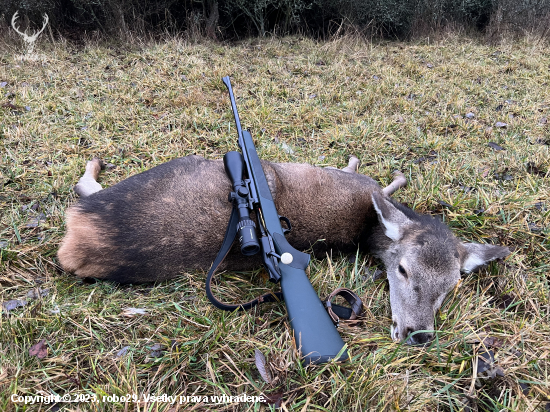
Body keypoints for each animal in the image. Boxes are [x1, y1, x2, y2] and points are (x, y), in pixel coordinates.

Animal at [58, 154, 512, 344]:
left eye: (451, 287)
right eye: (401, 270)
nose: (417, 333)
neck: (366, 229)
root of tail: (75, 244)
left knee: (81, 188)